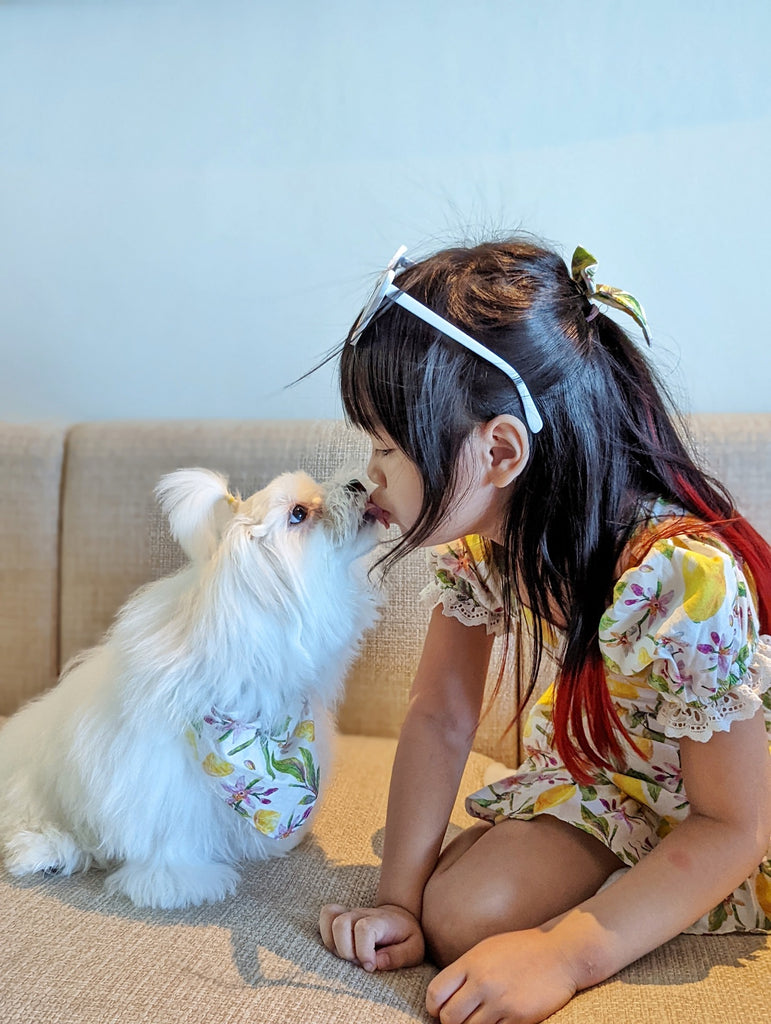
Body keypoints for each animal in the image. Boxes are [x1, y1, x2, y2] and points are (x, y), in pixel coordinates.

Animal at [0, 468, 382, 909]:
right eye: (298, 514)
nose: (357, 484)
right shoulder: (161, 772)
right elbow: (170, 828)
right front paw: (177, 881)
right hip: (36, 785)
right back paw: (46, 852)